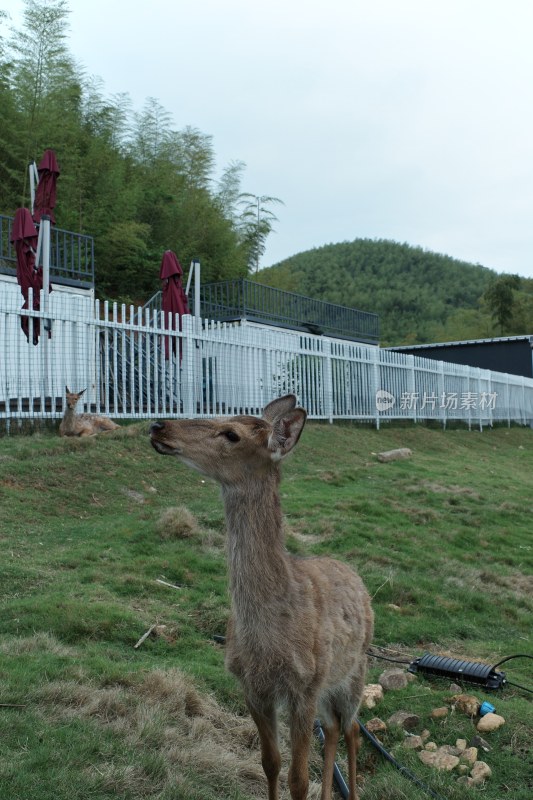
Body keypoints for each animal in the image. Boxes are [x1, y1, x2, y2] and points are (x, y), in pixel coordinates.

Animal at [150, 396, 374, 796]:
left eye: (231, 433)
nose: (159, 426)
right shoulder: (251, 686)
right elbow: (270, 763)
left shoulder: (305, 685)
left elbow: (298, 779)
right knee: (334, 727)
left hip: (352, 672)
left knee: (352, 730)